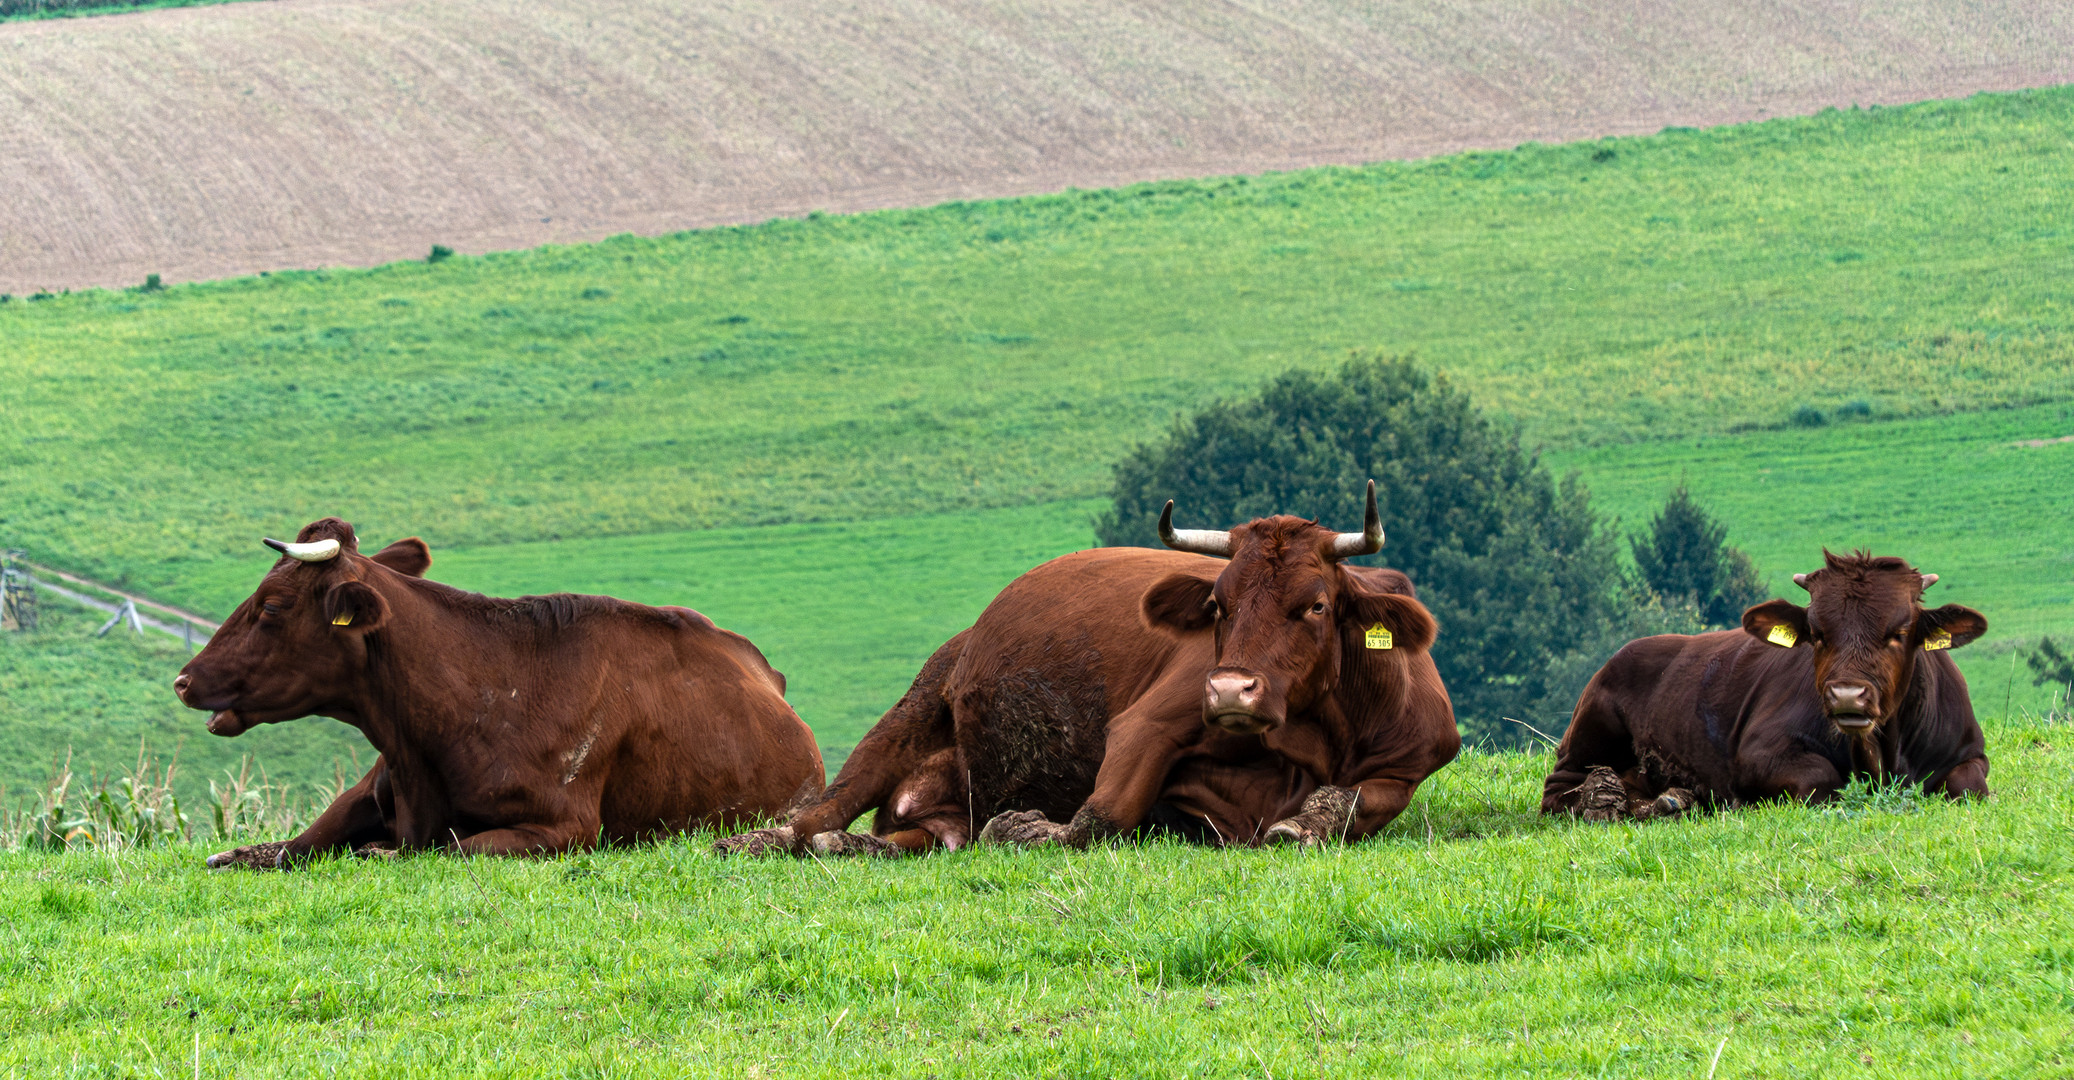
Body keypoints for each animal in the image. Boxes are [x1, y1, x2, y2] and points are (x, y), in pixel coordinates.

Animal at [176, 518, 825, 862]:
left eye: (272, 606)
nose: (184, 679)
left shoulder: (566, 829)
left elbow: (447, 848)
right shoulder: (371, 789)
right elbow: (295, 844)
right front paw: (234, 855)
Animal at [721, 485, 1468, 854]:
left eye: (1315, 604)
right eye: (1219, 603)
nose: (1229, 688)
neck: (1316, 735)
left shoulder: (1408, 764)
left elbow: (1349, 803)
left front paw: (1302, 822)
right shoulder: (1149, 723)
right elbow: (1103, 814)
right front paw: (1024, 828)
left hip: (939, 810)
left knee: (911, 837)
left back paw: (856, 846)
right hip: (909, 712)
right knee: (819, 813)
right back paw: (765, 838)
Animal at [1551, 547, 1982, 816]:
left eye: (1900, 631)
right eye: (1817, 633)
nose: (1847, 695)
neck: (1880, 756)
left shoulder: (1970, 752)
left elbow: (1967, 785)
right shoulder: (1758, 753)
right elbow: (1818, 778)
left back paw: (1671, 801)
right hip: (1589, 738)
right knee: (1560, 792)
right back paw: (1604, 806)